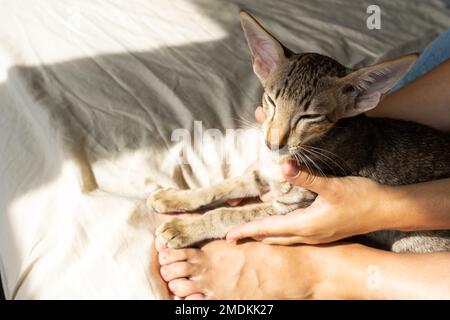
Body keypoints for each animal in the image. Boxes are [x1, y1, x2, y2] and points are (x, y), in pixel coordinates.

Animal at [149, 11, 450, 254]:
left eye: (309, 117)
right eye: (271, 101)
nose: (272, 143)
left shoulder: (294, 207)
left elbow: (230, 215)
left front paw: (185, 228)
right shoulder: (264, 173)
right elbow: (225, 186)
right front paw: (177, 197)